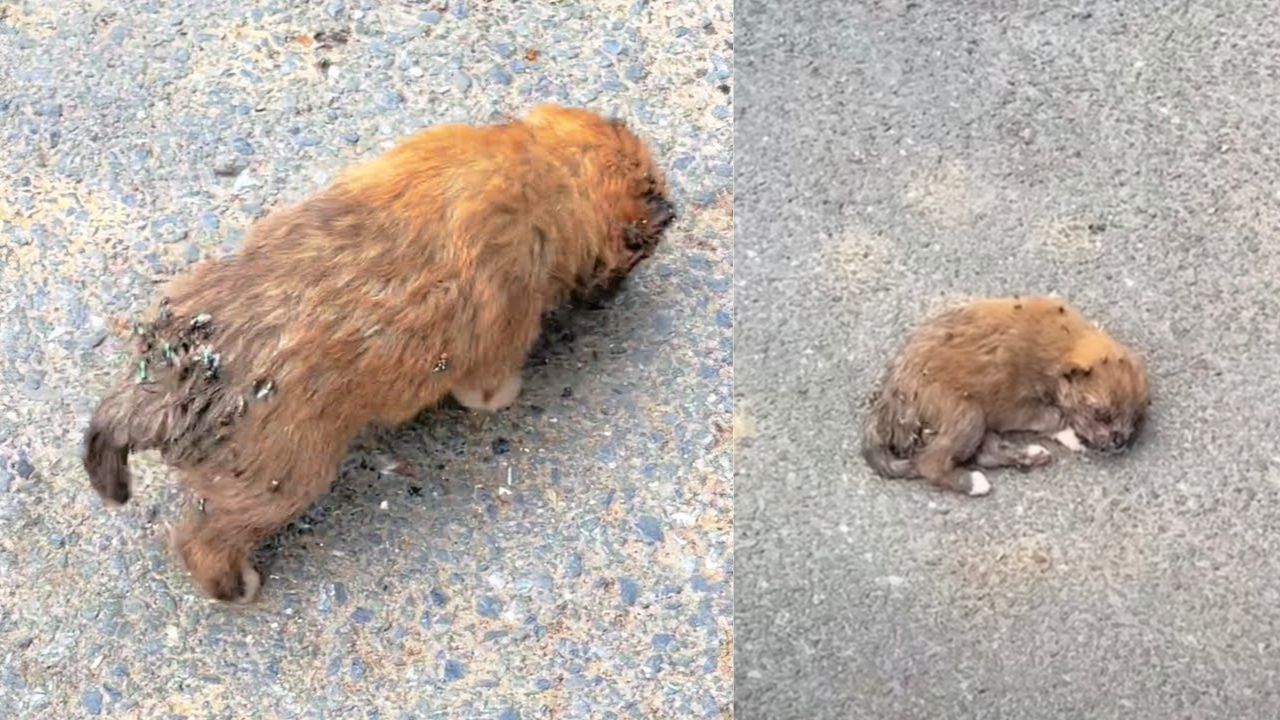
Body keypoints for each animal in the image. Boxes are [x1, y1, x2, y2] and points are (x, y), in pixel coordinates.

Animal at [83, 102, 675, 599]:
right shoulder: (498, 341)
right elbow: (492, 389)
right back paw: (236, 585)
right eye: (638, 253)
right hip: (279, 480)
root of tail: (169, 379)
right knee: (204, 541)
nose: (614, 297)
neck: (541, 173)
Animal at [860, 295, 1152, 491]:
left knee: (985, 453)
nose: (1120, 441)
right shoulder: (1011, 408)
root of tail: (889, 394)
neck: (1062, 345)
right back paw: (973, 483)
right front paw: (1070, 434)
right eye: (1101, 413)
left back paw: (1030, 456)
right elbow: (1053, 415)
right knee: (931, 462)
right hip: (967, 413)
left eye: (1135, 418)